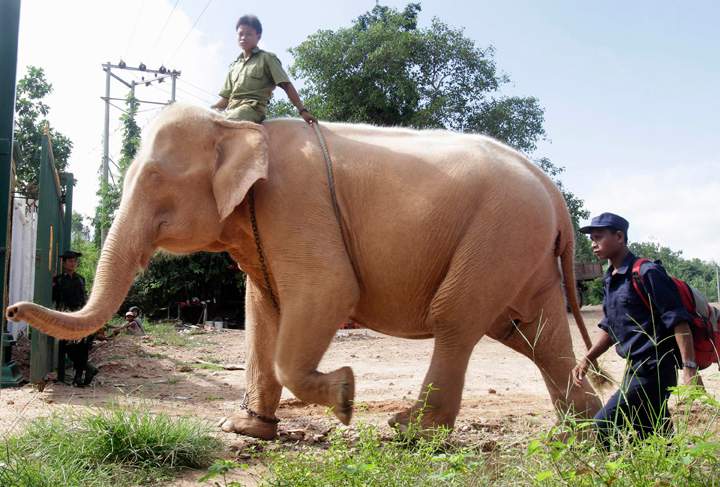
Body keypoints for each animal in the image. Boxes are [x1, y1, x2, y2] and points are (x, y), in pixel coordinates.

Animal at [7, 103, 602, 440]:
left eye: (153, 177)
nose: (11, 307)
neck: (239, 128)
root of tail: (552, 190)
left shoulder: (295, 210)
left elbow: (328, 292)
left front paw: (345, 398)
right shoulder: (262, 232)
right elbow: (261, 313)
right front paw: (246, 430)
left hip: (498, 236)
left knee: (457, 320)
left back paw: (408, 431)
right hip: (519, 249)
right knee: (534, 333)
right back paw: (589, 429)